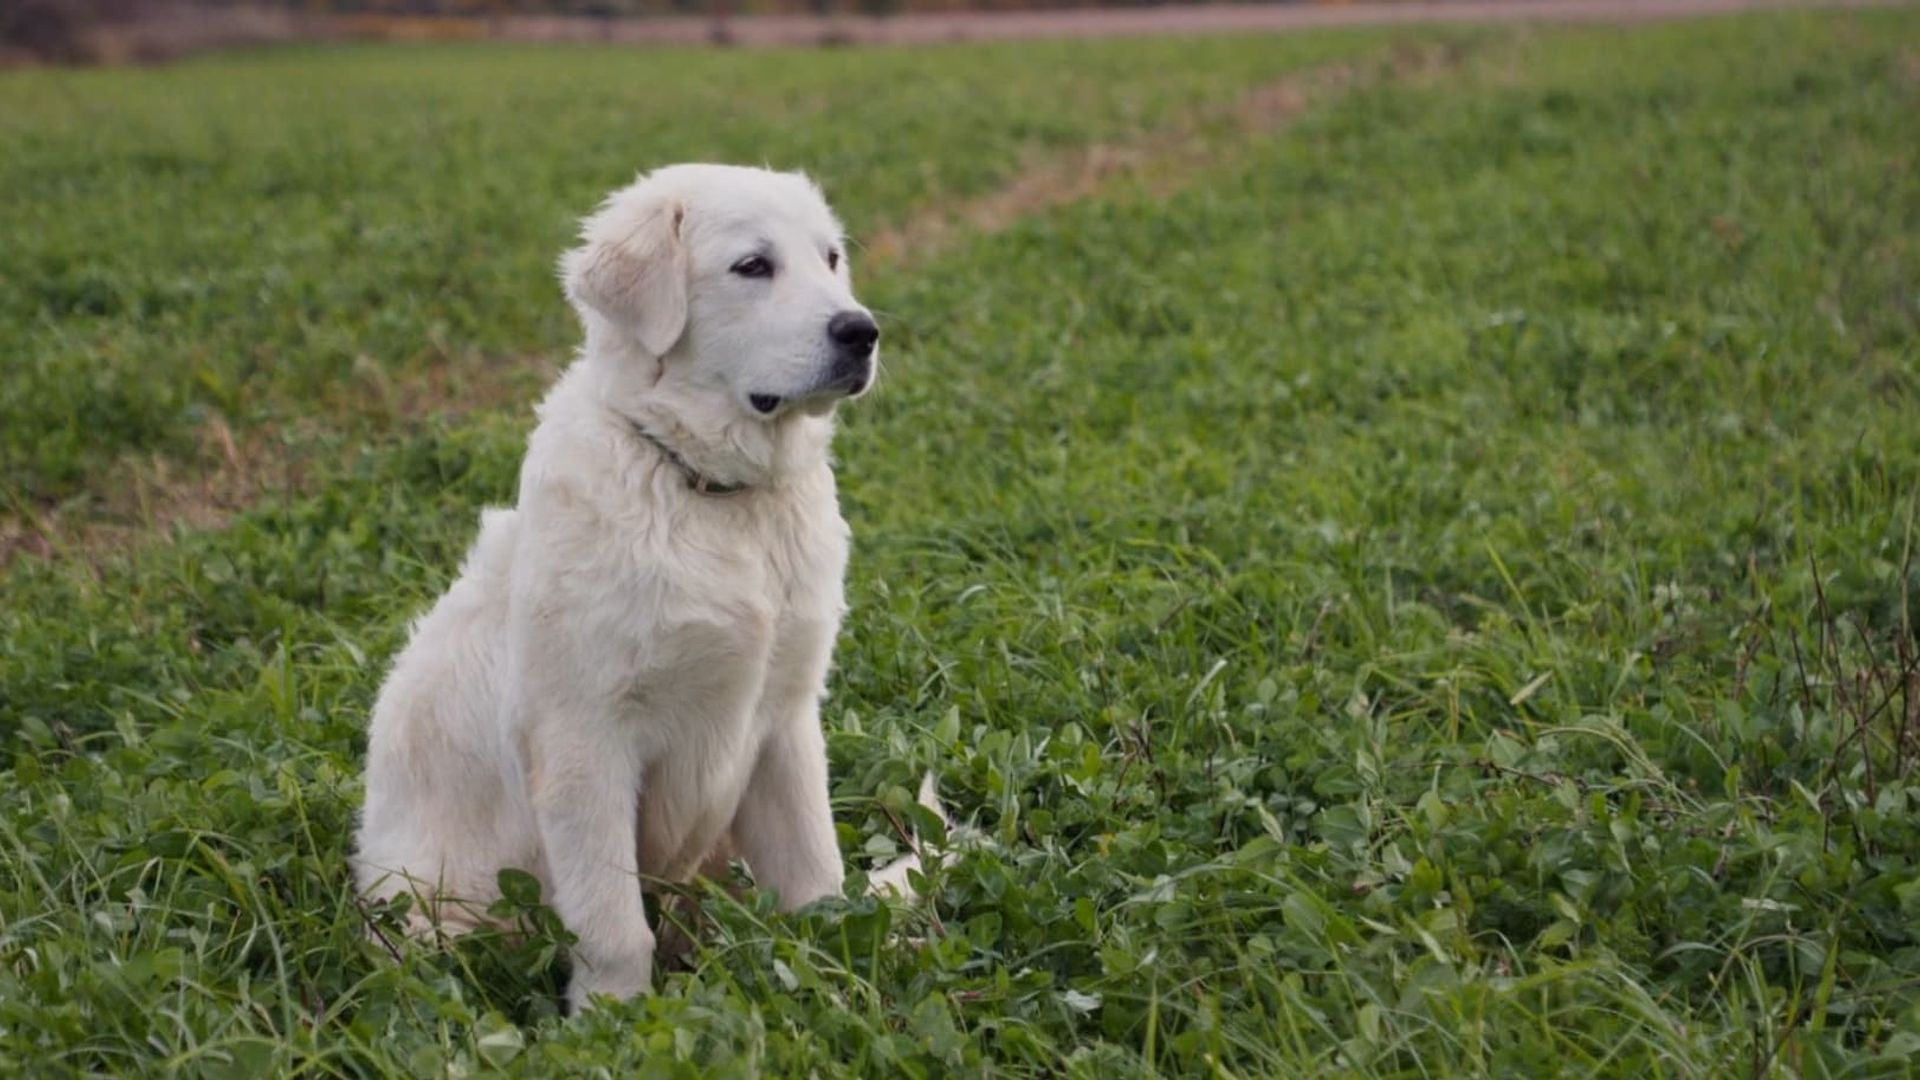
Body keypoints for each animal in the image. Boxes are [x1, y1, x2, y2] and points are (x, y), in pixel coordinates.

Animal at [355, 164, 921, 1006]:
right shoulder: (585, 741)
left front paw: (838, 990)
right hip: (426, 909)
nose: (862, 332)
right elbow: (616, 925)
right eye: (752, 266)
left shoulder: (785, 720)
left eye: (830, 259)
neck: (711, 492)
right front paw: (611, 1020)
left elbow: (817, 879)